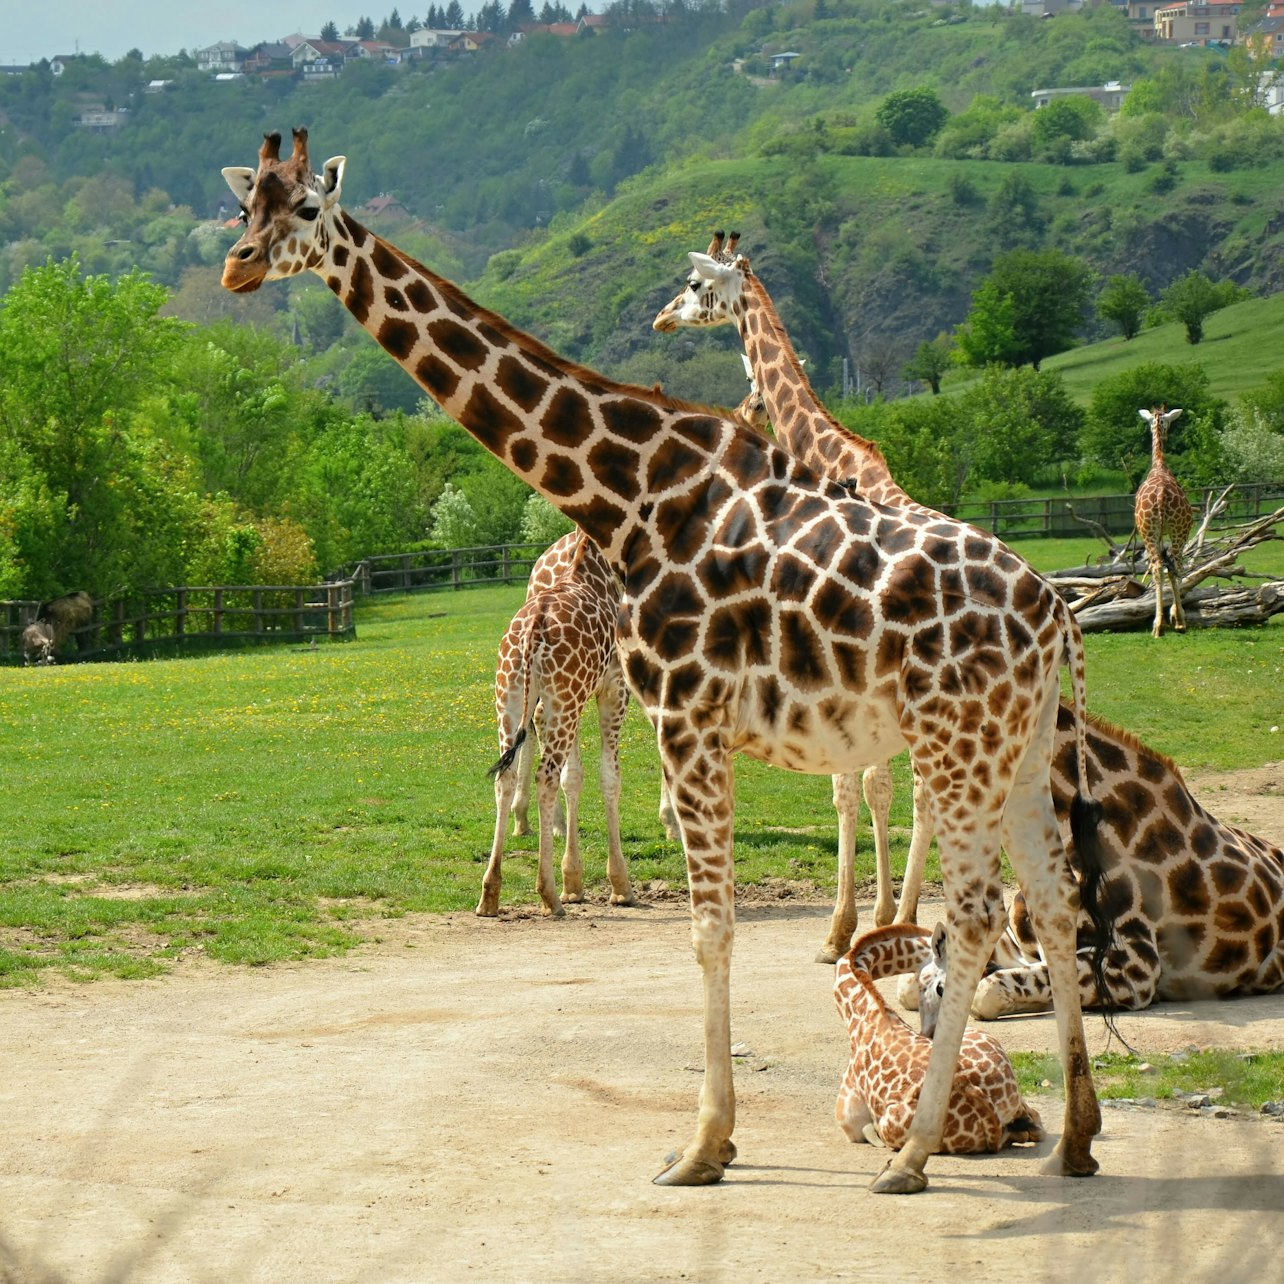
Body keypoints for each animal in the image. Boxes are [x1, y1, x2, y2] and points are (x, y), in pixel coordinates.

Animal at [477, 526, 636, 919]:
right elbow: (609, 777)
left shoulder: (574, 699)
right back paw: (547, 893)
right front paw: (619, 885)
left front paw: (574, 882)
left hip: (511, 700)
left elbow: (574, 777)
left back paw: (490, 894)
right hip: (560, 703)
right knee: (544, 777)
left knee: (506, 776)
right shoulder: (613, 689)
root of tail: (532, 634)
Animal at [652, 236, 1284, 1006]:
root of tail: (1059, 613)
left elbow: (861, 791)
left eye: (692, 285)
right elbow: (883, 793)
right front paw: (884, 920)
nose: (660, 319)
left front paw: (849, 928)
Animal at [837, 924, 1047, 1155]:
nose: (932, 1033)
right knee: (1035, 1126)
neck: (860, 1011)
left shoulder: (848, 1119)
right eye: (941, 988)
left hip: (893, 1128)